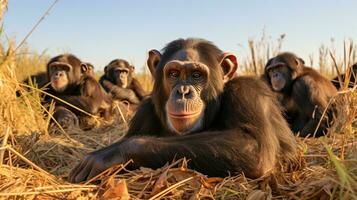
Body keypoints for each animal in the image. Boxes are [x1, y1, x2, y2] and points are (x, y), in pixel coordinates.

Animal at [68, 38, 296, 184]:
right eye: (174, 74)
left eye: (196, 75)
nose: (183, 91)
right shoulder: (145, 110)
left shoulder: (248, 91)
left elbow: (254, 148)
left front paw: (112, 153)